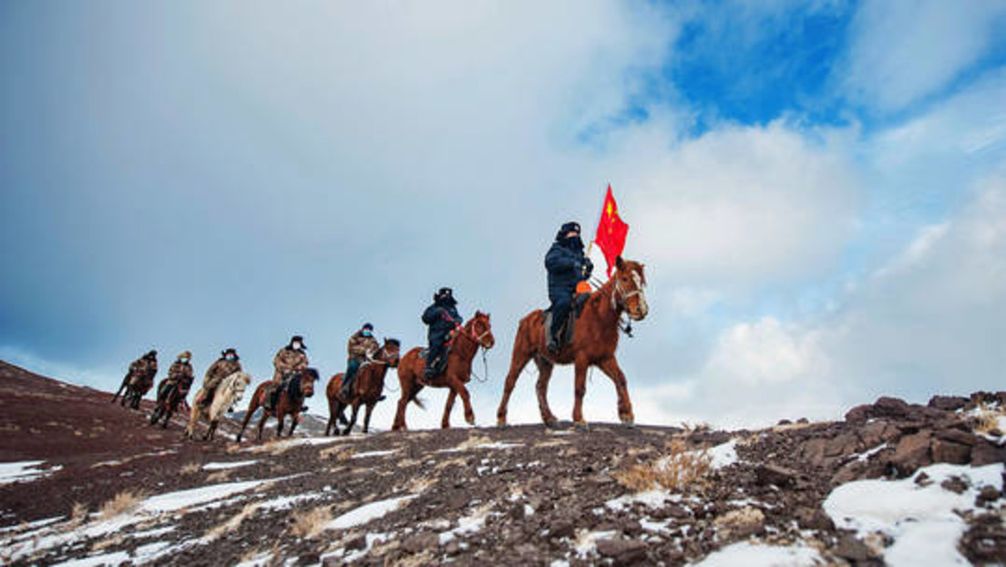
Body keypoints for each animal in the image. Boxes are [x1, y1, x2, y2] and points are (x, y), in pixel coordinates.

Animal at [496, 257, 651, 430]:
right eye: (624, 279)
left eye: (641, 281)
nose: (641, 310)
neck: (599, 317)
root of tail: (525, 320)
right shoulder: (582, 358)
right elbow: (579, 388)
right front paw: (579, 419)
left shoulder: (605, 358)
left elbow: (621, 379)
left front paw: (627, 415)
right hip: (521, 354)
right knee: (510, 382)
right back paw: (501, 418)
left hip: (545, 362)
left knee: (540, 387)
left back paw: (549, 418)